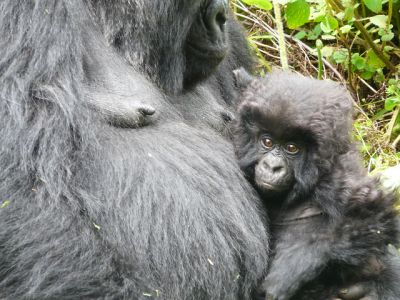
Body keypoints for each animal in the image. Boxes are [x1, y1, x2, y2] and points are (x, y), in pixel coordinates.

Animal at [233, 69, 400, 298]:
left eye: (292, 148)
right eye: (267, 142)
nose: (272, 166)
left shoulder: (338, 180)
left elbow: (372, 219)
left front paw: (288, 272)